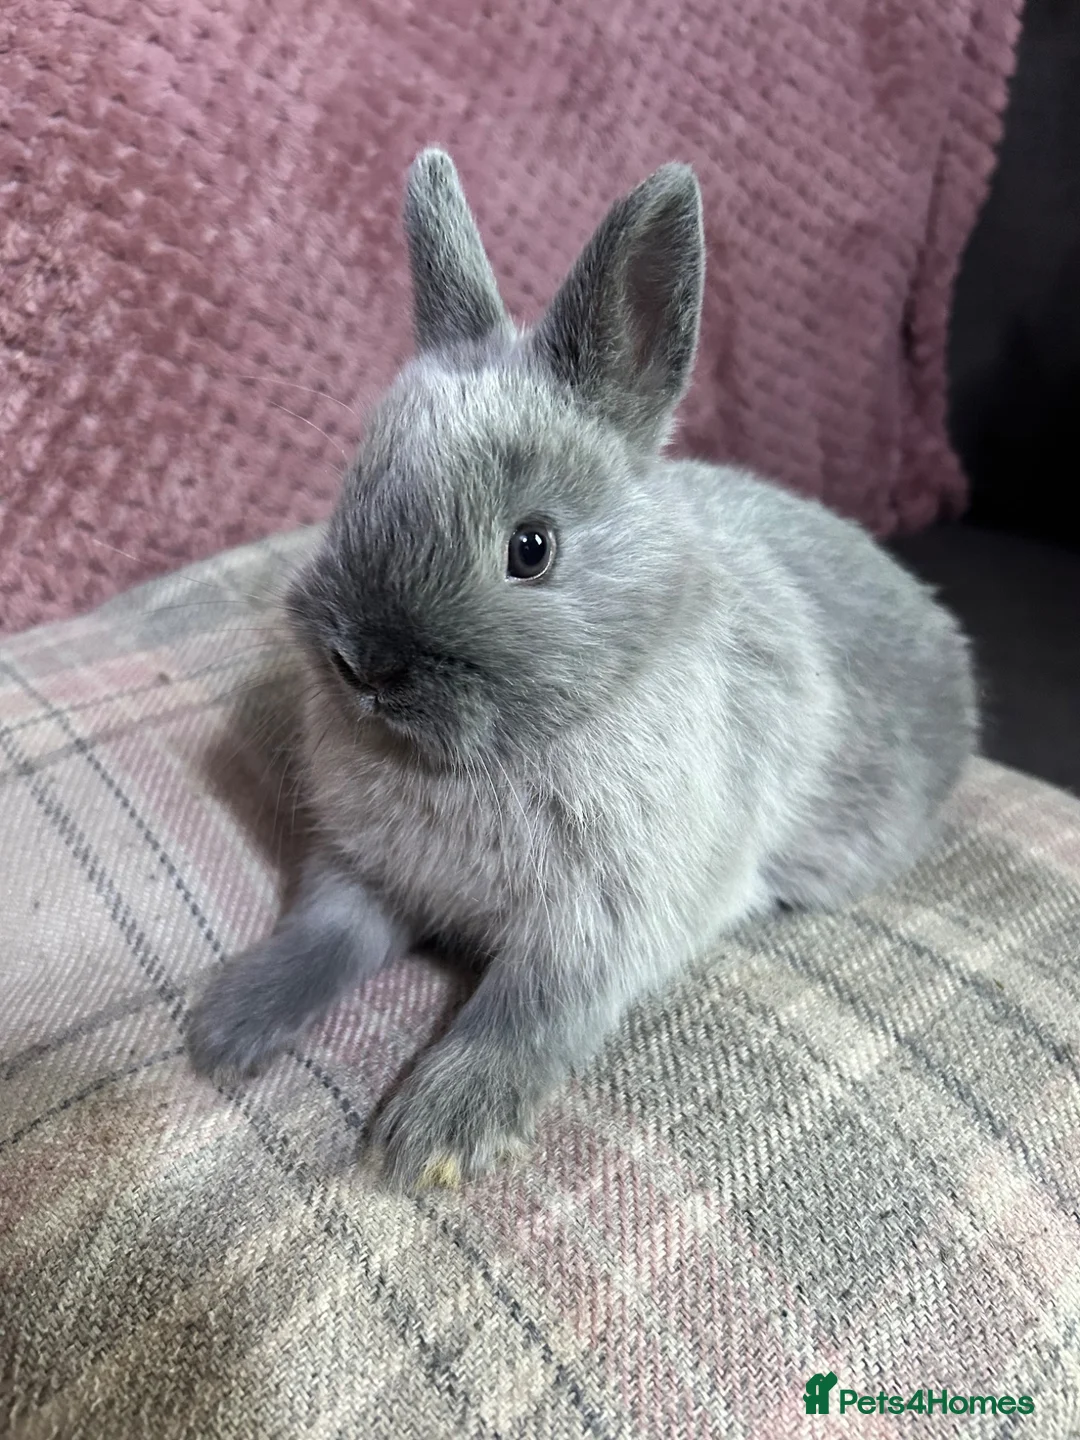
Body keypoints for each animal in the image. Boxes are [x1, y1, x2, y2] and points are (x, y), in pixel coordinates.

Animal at [188, 149, 977, 1190]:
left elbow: (525, 1012)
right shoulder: (361, 867)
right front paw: (229, 1024)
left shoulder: (598, 927)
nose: (361, 662)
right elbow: (324, 934)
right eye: (356, 485)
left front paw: (433, 1136)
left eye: (531, 548)